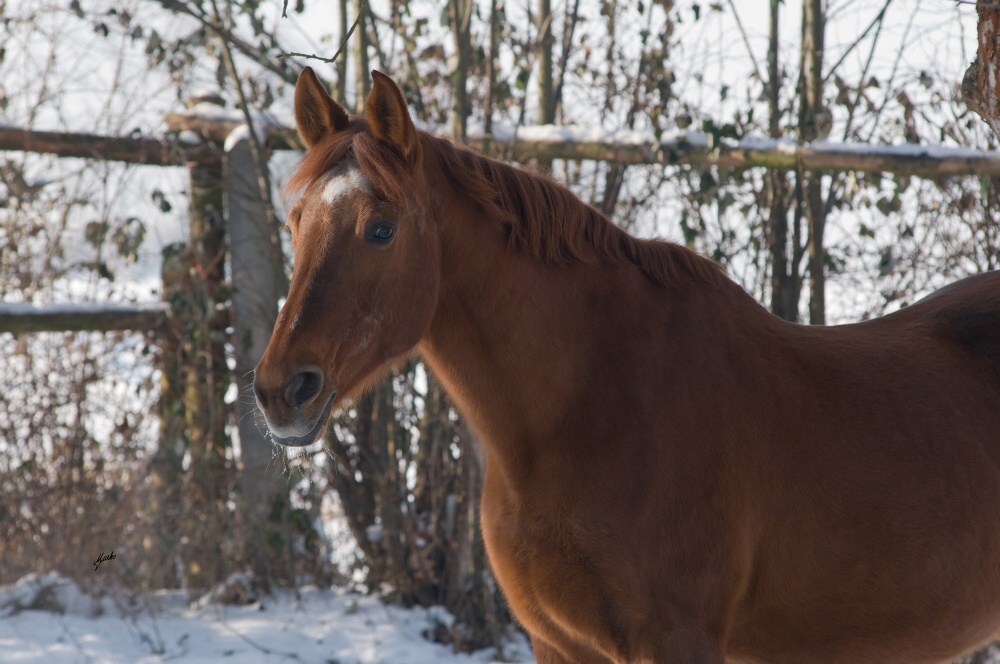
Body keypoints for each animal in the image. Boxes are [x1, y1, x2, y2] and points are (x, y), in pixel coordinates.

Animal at [252, 68, 1000, 664]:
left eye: (381, 229)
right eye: (294, 221)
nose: (281, 390)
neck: (591, 408)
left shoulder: (677, 643)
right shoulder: (557, 645)